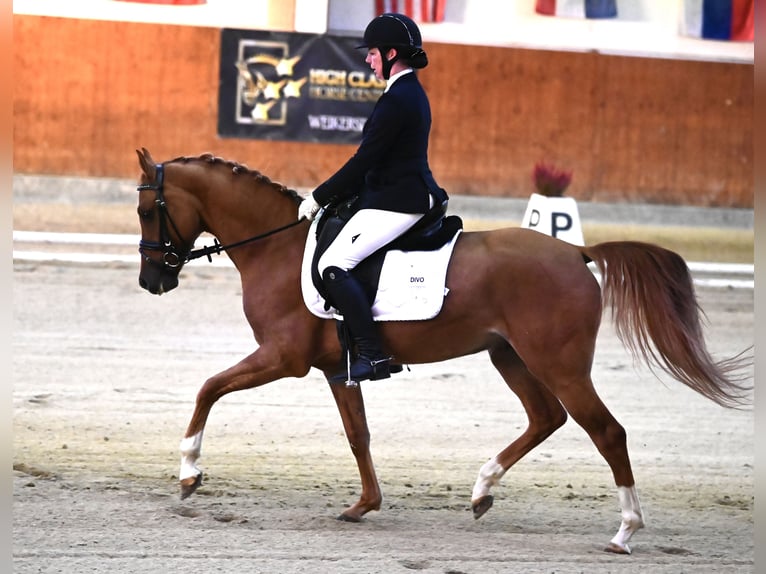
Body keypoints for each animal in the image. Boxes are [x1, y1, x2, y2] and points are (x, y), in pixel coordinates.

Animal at [136, 151, 752, 556]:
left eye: (148, 212)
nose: (151, 282)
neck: (277, 247)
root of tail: (576, 252)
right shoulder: (338, 369)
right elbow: (358, 435)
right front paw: (364, 505)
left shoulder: (282, 358)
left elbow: (208, 387)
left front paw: (189, 473)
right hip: (510, 356)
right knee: (546, 417)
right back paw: (482, 490)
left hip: (559, 363)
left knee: (606, 431)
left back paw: (624, 531)